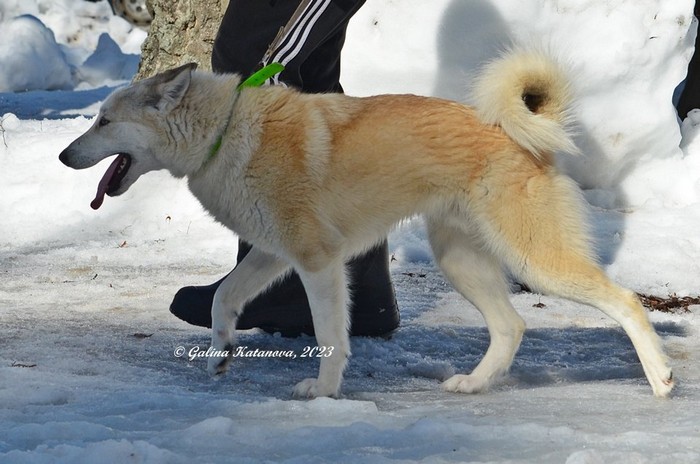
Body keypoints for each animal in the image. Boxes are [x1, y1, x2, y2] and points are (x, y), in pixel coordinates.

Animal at [59, 50, 674, 398]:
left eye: (105, 120)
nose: (64, 155)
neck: (225, 131)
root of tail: (517, 132)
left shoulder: (318, 263)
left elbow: (331, 337)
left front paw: (324, 393)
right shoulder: (275, 254)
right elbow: (223, 298)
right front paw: (221, 354)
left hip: (534, 258)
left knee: (625, 302)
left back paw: (661, 380)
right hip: (461, 260)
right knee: (511, 327)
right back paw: (475, 383)